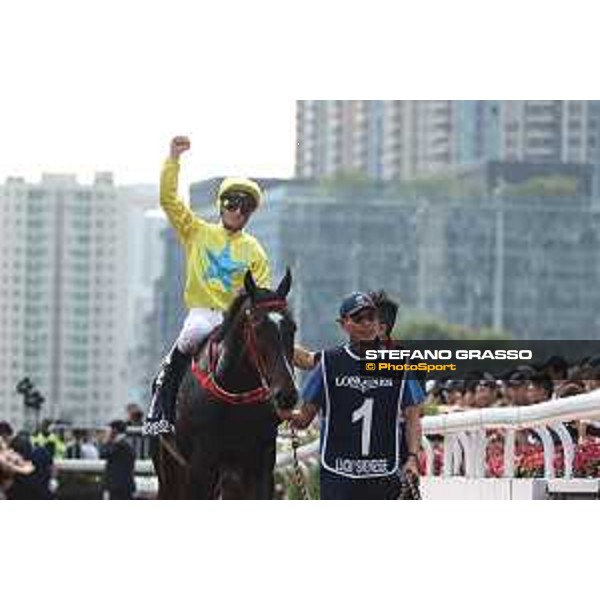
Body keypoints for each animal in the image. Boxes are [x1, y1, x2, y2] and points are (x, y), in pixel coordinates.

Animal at [152, 270, 298, 500]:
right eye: (257, 328)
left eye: (292, 328)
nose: (287, 394)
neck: (235, 391)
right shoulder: (200, 466)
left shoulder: (260, 464)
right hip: (169, 470)